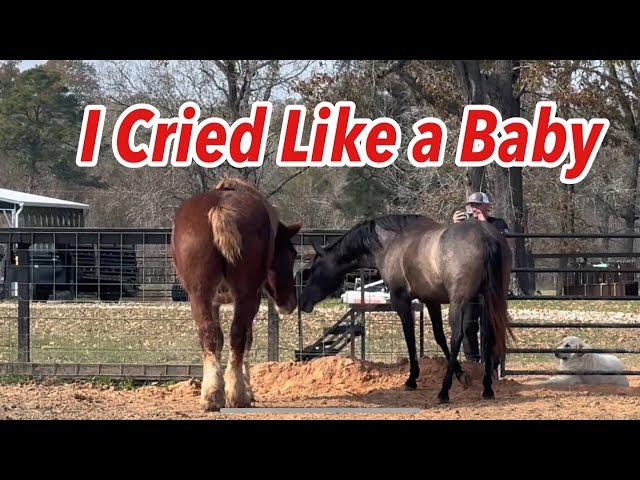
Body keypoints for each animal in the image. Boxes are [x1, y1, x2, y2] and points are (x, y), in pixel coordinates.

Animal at [170, 178, 300, 410]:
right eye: (292, 254)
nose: (290, 302)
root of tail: (220, 209)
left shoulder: (213, 302)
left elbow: (218, 340)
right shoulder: (252, 299)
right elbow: (246, 340)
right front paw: (247, 389)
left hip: (199, 295)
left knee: (209, 334)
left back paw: (212, 394)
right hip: (246, 296)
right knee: (238, 335)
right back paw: (238, 394)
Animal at [300, 216, 516, 404]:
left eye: (314, 269)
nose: (303, 302)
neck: (391, 243)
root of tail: (486, 236)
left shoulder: (401, 300)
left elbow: (410, 337)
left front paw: (412, 379)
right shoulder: (431, 301)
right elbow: (439, 336)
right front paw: (462, 375)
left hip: (460, 302)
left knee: (458, 336)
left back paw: (444, 391)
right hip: (488, 300)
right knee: (488, 336)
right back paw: (487, 388)